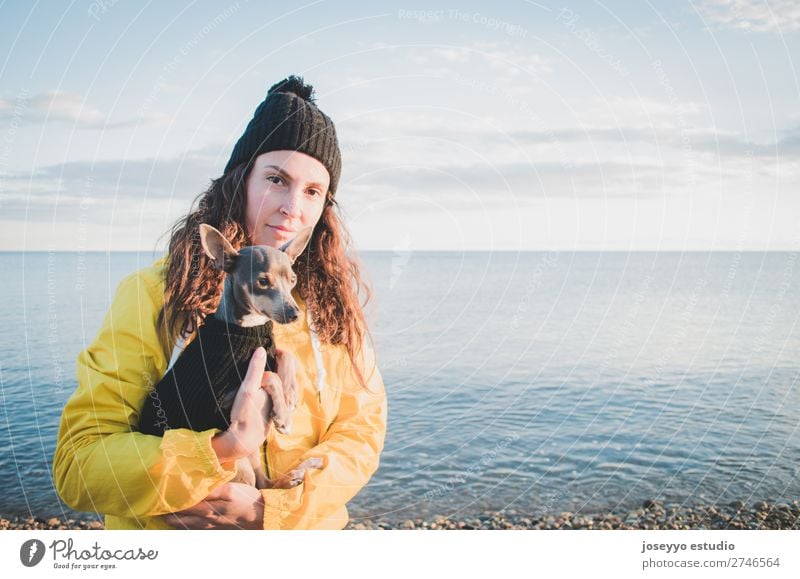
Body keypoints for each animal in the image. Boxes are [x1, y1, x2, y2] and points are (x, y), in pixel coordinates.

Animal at [138, 224, 322, 492]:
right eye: (262, 282)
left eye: (293, 280)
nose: (295, 313)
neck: (249, 330)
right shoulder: (221, 399)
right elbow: (268, 375)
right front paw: (283, 415)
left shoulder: (269, 350)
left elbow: (286, 355)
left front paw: (290, 392)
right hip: (239, 459)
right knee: (257, 486)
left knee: (266, 484)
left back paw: (294, 475)